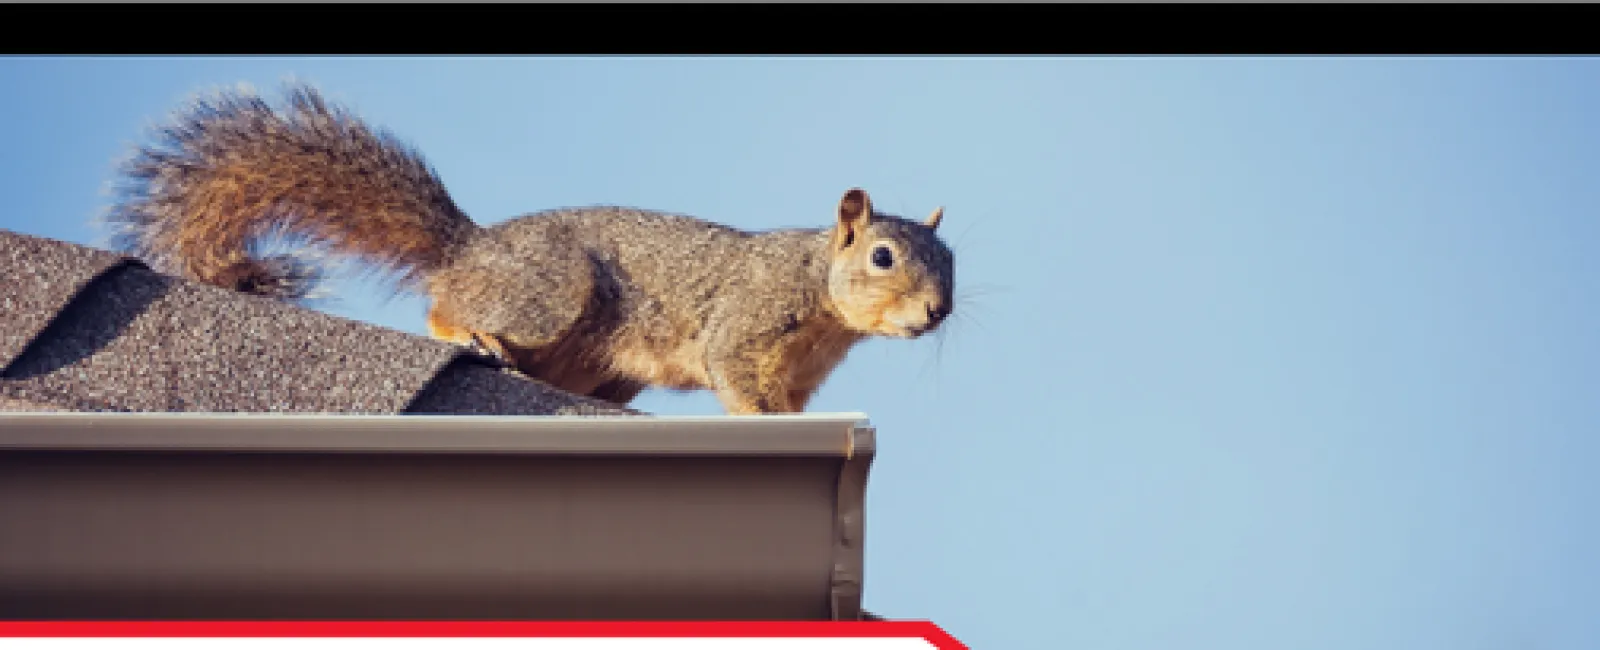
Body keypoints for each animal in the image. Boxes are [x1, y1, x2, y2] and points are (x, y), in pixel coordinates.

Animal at [101, 82, 957, 414]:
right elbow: (737, 378)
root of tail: (471, 248)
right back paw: (471, 332)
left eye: (952, 264)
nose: (937, 312)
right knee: (444, 307)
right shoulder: (746, 322)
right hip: (549, 295)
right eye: (883, 256)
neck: (820, 294)